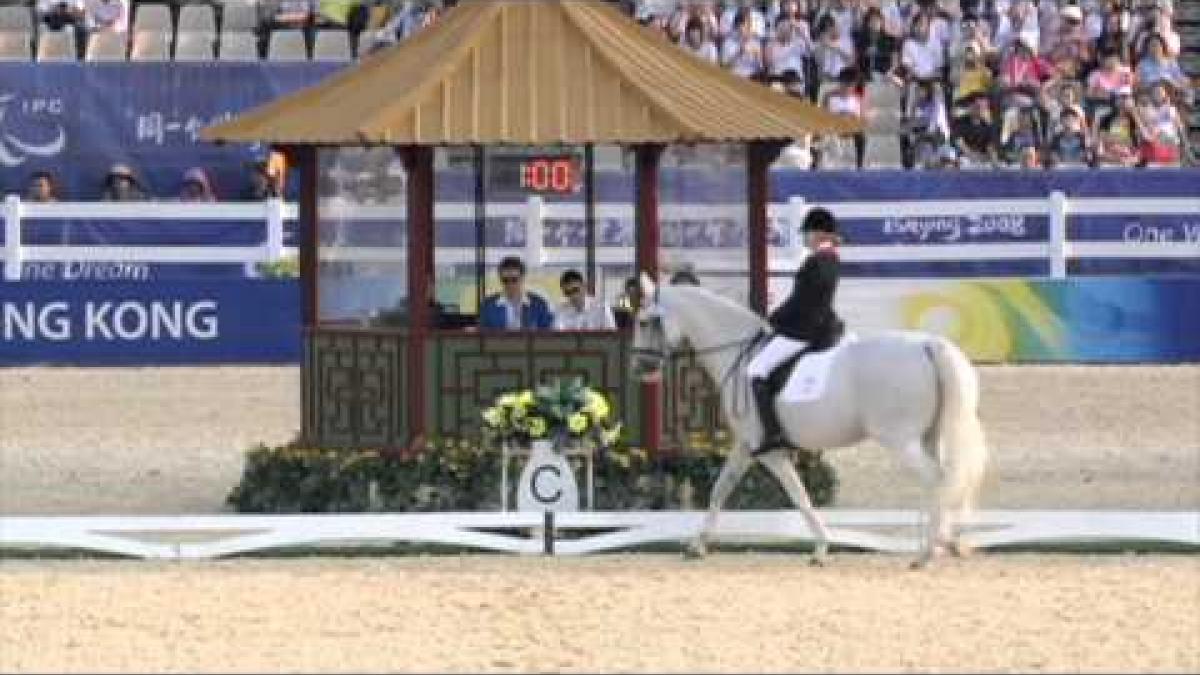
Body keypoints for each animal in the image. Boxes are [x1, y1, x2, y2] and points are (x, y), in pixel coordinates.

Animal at [628, 273, 984, 562]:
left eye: (644, 321)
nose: (640, 367)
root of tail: (928, 344)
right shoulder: (746, 445)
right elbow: (721, 487)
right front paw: (697, 545)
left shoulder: (768, 450)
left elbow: (797, 492)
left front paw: (821, 548)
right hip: (927, 436)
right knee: (944, 480)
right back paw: (944, 543)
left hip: (900, 439)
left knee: (936, 479)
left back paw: (929, 551)